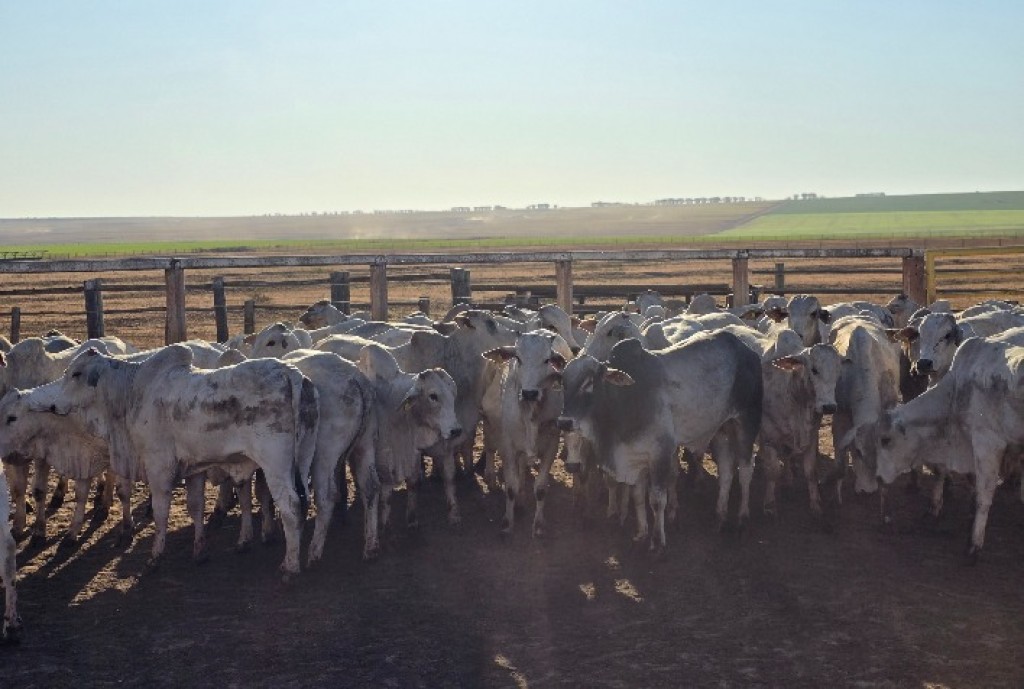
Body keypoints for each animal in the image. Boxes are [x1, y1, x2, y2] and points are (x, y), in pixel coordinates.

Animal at [25, 345, 318, 579]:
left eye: (75, 374)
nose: (53, 406)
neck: (131, 393)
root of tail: (290, 373)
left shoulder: (159, 467)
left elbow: (160, 512)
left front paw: (155, 557)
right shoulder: (194, 469)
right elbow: (196, 507)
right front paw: (199, 551)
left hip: (275, 466)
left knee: (291, 506)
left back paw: (290, 567)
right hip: (302, 460)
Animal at [481, 331, 569, 537]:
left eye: (547, 360)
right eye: (518, 358)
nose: (529, 393)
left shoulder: (552, 445)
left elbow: (541, 488)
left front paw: (538, 524)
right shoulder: (508, 447)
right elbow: (510, 487)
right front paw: (507, 523)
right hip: (488, 422)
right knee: (491, 448)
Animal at [557, 331, 762, 551]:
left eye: (589, 383)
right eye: (563, 383)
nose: (564, 422)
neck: (622, 400)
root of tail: (746, 351)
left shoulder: (660, 453)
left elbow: (656, 500)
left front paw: (658, 542)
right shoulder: (634, 456)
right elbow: (638, 496)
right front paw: (641, 533)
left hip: (746, 421)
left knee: (746, 471)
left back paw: (742, 521)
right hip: (721, 430)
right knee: (726, 471)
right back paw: (720, 517)